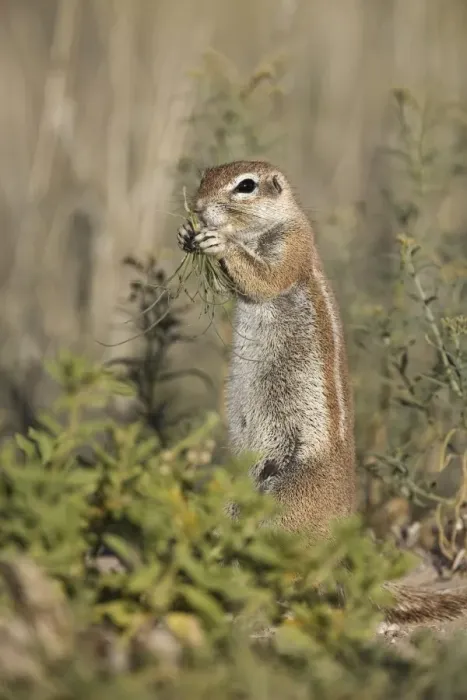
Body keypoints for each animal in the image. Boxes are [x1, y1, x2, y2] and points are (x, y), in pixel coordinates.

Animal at [177, 160, 467, 628]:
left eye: (245, 186)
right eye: (205, 175)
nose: (199, 207)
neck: (267, 224)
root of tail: (340, 535)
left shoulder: (293, 247)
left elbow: (264, 278)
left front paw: (217, 241)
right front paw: (188, 234)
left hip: (284, 504)